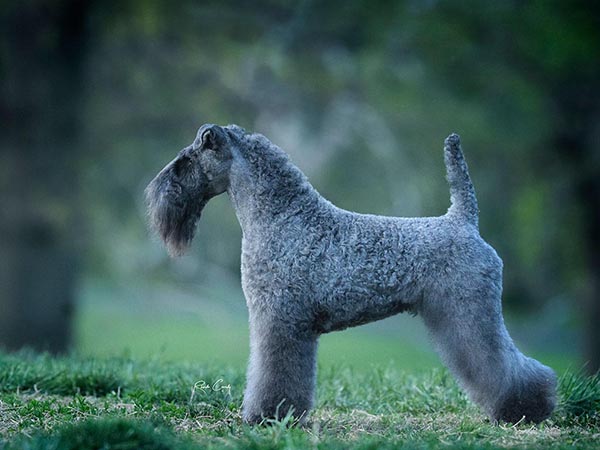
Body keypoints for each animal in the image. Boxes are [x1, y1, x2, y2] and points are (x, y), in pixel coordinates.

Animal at [145, 124, 556, 426]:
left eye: (184, 161)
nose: (153, 194)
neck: (282, 215)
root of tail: (464, 220)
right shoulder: (284, 321)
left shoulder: (279, 320)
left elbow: (272, 373)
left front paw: (268, 416)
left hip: (470, 312)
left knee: (504, 363)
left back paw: (525, 410)